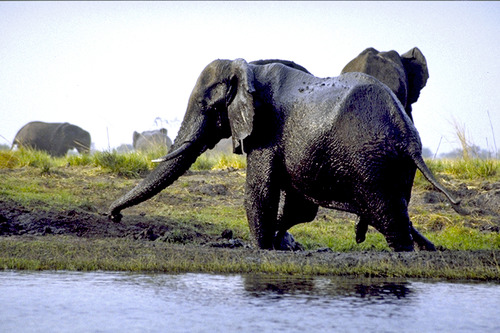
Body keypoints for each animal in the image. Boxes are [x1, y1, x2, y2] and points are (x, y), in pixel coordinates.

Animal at [108, 59, 460, 252]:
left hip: (371, 162)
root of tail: (408, 137)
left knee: (387, 216)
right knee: (393, 210)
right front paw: (282, 242)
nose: (115, 216)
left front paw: (264, 247)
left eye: (209, 107)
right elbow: (299, 207)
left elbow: (260, 193)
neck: (248, 68)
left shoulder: (267, 130)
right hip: (394, 166)